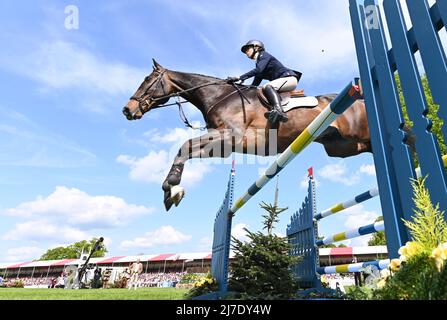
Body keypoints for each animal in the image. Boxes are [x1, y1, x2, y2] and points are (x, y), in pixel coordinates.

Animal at [122, 60, 372, 211]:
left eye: (147, 80)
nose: (127, 110)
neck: (219, 96)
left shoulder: (229, 136)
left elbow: (184, 146)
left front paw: (172, 187)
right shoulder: (223, 146)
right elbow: (185, 149)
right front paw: (171, 191)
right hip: (342, 147)